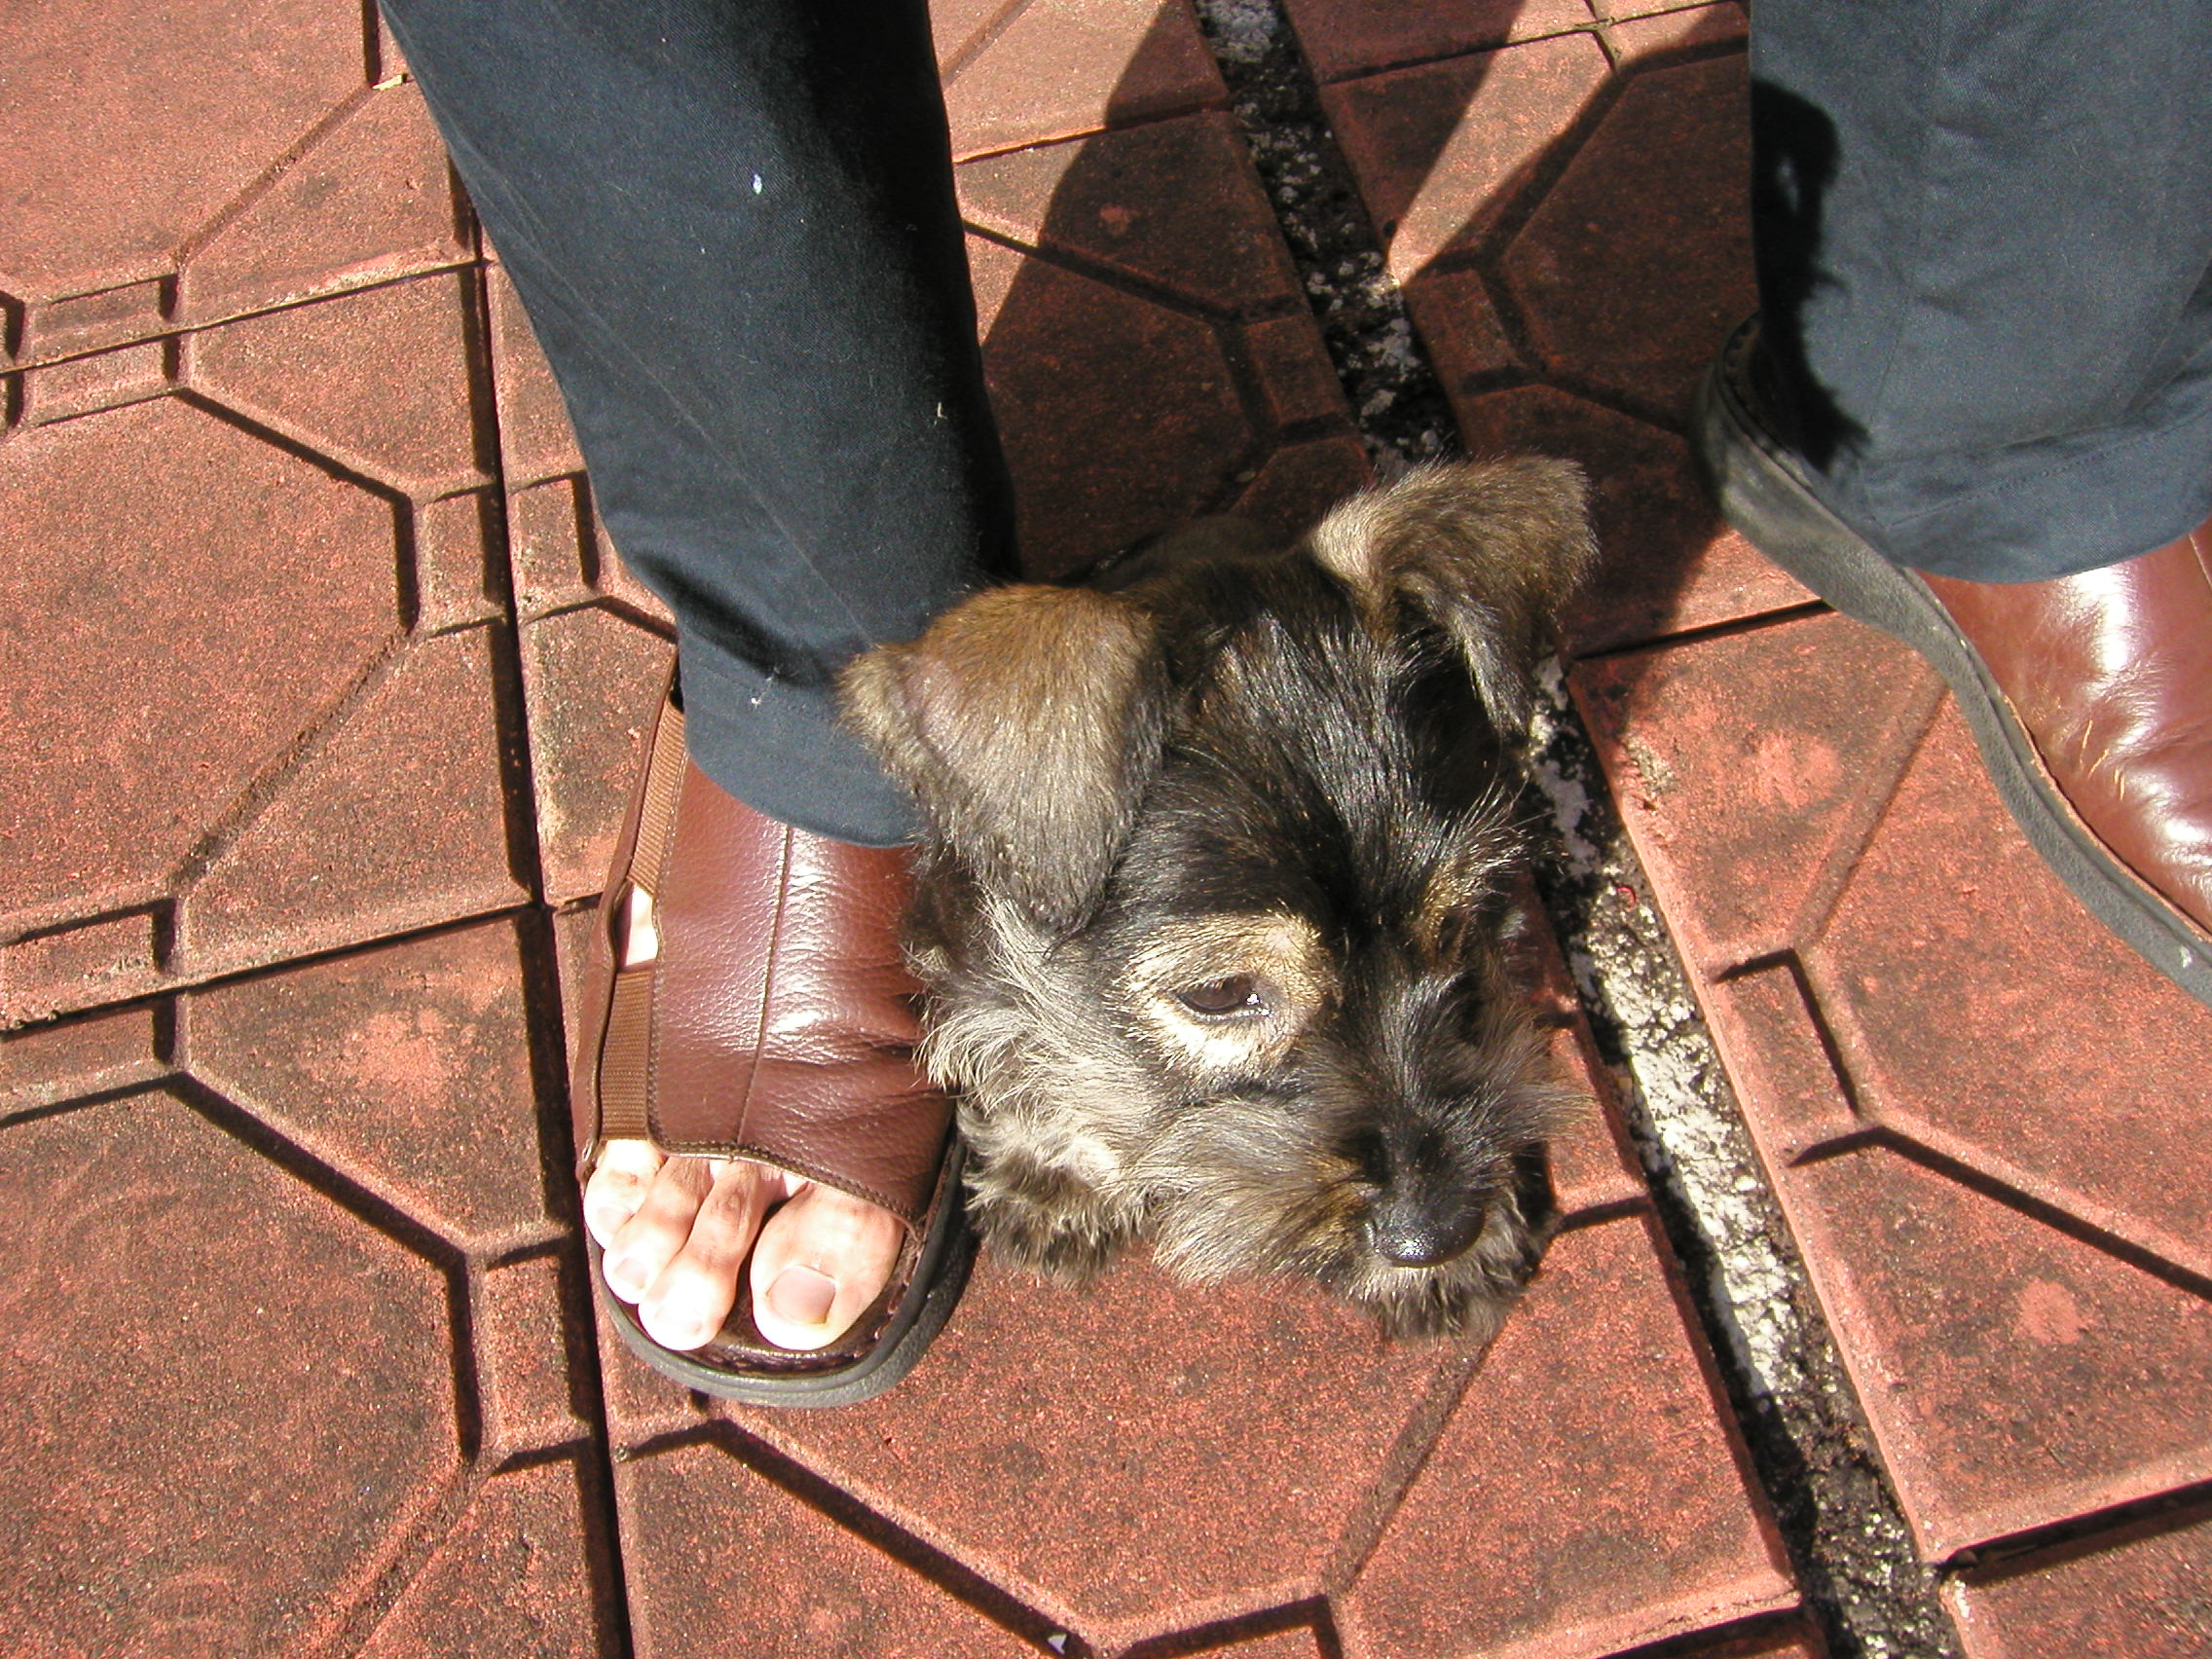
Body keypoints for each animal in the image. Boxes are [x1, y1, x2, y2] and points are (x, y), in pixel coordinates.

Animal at [839, 459, 1596, 1337]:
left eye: (1469, 920)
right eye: (1222, 992)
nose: (1436, 1233)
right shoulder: (982, 962)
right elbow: (1032, 1054)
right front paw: (1058, 1178)